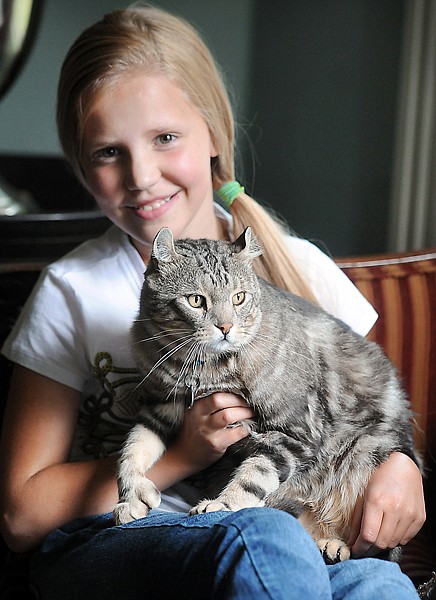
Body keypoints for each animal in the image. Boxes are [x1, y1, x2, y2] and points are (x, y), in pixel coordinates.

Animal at [114, 226, 420, 564]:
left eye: (239, 298)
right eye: (195, 300)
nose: (225, 327)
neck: (202, 369)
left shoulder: (296, 430)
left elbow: (256, 474)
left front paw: (223, 504)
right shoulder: (161, 407)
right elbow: (132, 450)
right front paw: (130, 498)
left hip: (365, 454)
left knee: (371, 547)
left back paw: (335, 544)